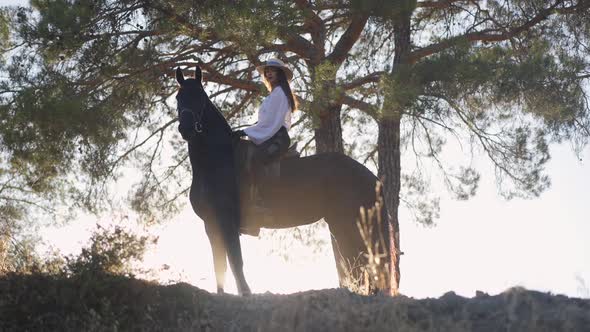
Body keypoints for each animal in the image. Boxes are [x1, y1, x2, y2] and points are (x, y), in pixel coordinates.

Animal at [176, 67, 396, 296]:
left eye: (200, 97)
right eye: (178, 97)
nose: (186, 129)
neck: (217, 161)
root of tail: (370, 177)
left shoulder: (227, 221)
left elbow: (236, 261)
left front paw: (245, 292)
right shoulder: (211, 224)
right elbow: (220, 264)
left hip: (347, 224)